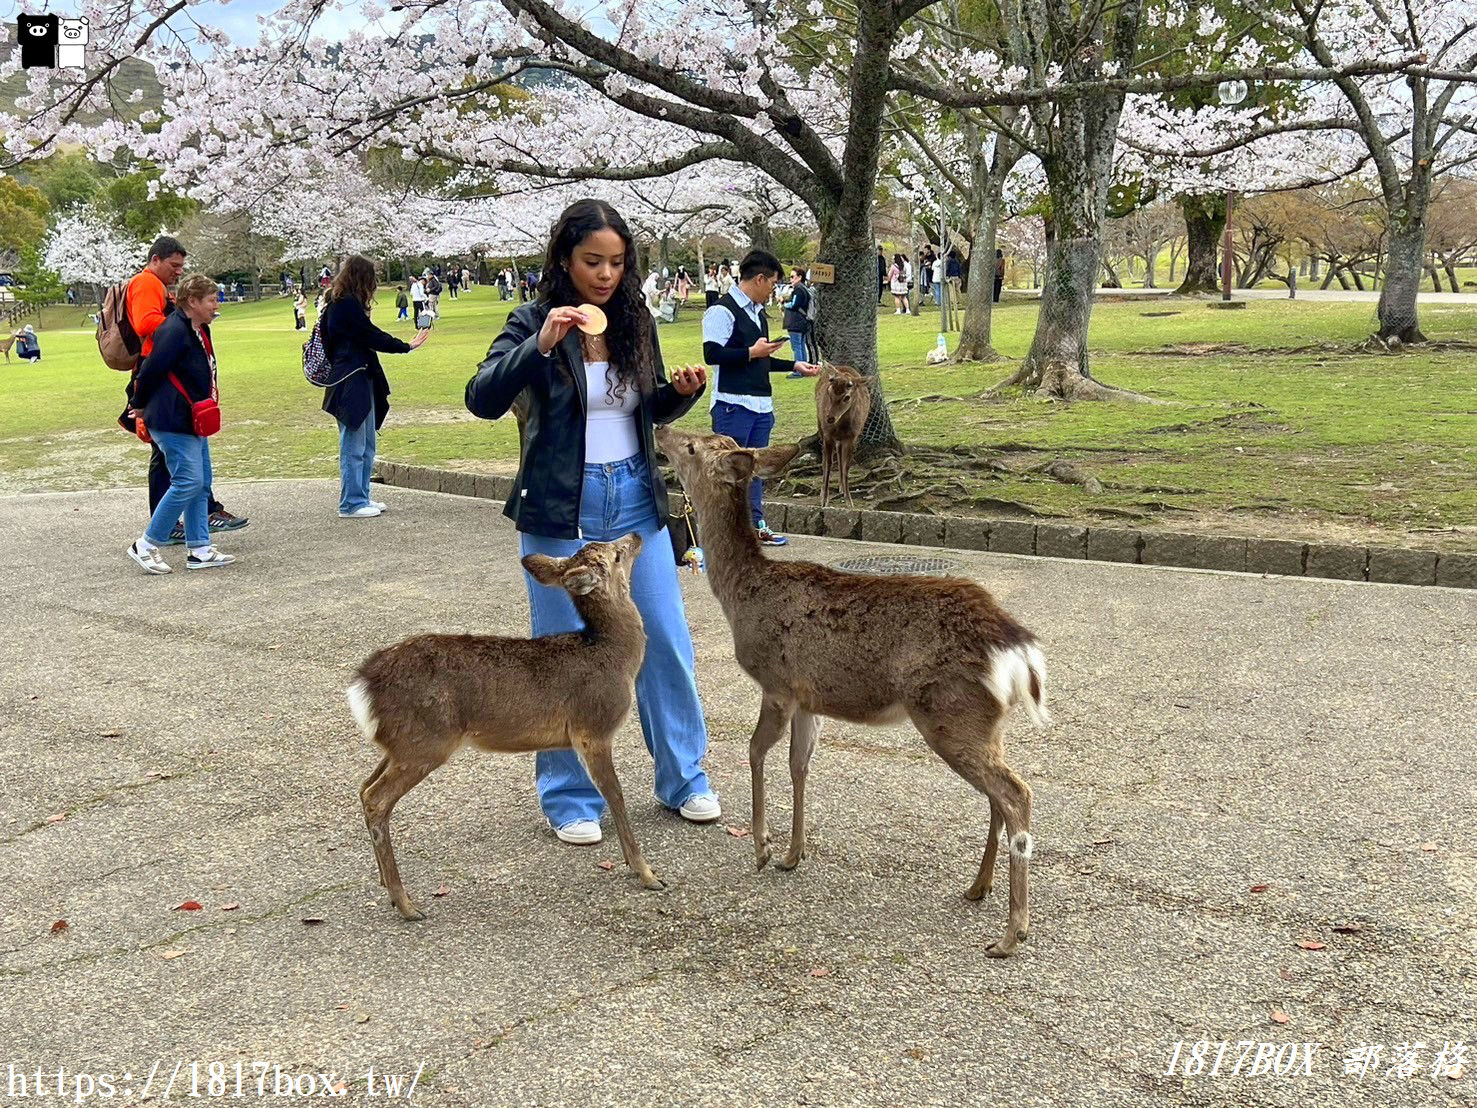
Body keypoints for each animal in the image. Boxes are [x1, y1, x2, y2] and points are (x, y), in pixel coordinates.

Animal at [348, 534, 661, 921]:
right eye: (616, 555)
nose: (635, 535)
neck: (616, 658)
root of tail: (363, 685)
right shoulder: (593, 729)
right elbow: (615, 795)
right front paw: (647, 873)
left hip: (401, 743)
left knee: (364, 788)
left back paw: (388, 888)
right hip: (427, 741)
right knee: (376, 798)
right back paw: (407, 905)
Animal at [658, 428, 1051, 957]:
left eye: (693, 448)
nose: (659, 431)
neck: (743, 595)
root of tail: (1016, 646)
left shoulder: (778, 683)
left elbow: (755, 751)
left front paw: (761, 848)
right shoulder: (809, 699)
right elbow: (799, 765)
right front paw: (792, 854)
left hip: (949, 712)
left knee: (1015, 793)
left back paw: (1011, 934)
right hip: (986, 721)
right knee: (998, 795)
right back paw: (977, 888)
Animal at [815, 366, 868, 511]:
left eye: (847, 397)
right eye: (829, 392)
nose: (829, 418)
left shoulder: (852, 437)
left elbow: (846, 467)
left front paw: (850, 502)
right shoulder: (828, 435)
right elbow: (828, 464)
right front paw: (824, 500)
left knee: (839, 454)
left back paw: (841, 487)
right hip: (819, 425)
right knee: (825, 458)